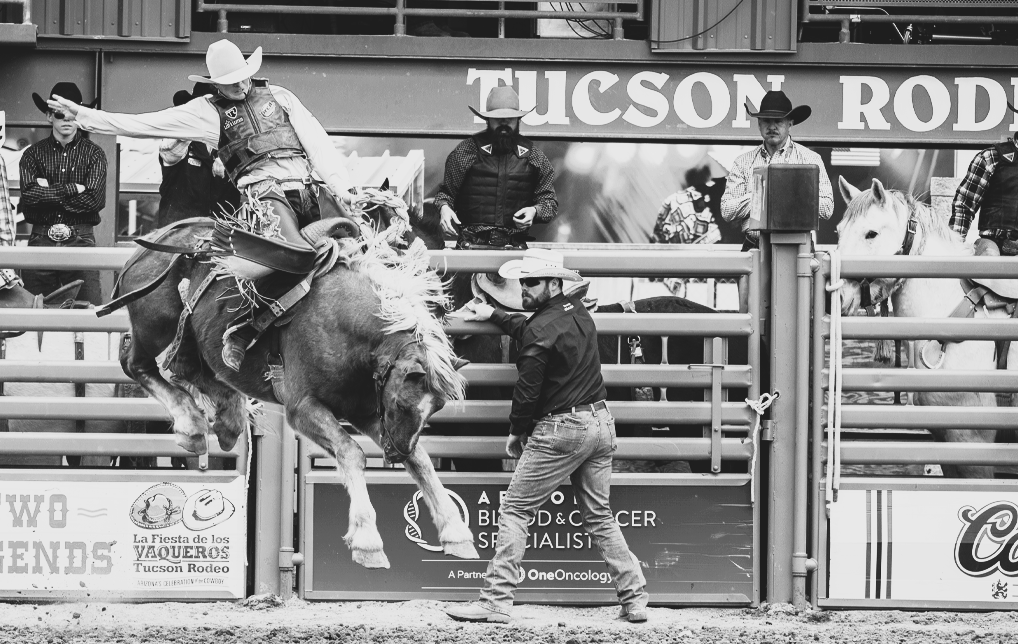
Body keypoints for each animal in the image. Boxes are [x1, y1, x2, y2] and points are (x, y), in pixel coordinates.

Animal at [115, 216, 475, 569]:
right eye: (401, 403)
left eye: (437, 408)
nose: (395, 455)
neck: (347, 328)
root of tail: (156, 238)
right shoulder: (303, 410)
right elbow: (351, 453)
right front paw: (367, 541)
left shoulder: (364, 411)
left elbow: (421, 459)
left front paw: (457, 535)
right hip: (155, 324)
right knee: (136, 364)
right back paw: (191, 424)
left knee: (187, 368)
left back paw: (226, 420)